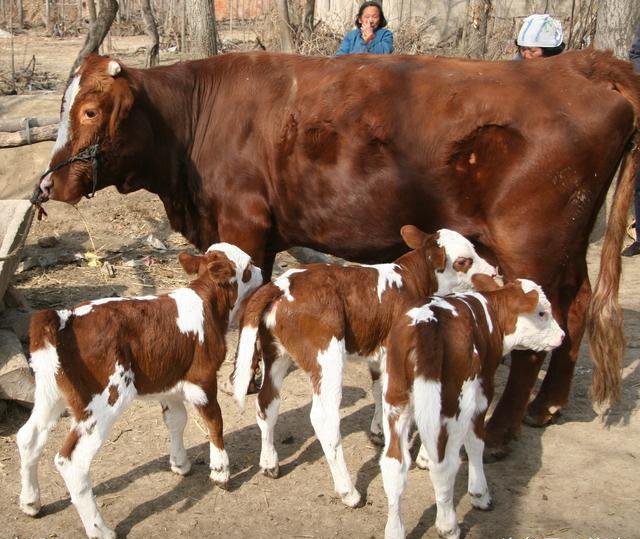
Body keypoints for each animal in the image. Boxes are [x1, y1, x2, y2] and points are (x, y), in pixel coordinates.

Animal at [17, 245, 262, 539]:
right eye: (249, 266)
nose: (263, 271)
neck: (208, 305)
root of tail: (64, 317)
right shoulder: (202, 379)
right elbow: (215, 422)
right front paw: (221, 472)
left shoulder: (169, 381)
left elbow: (176, 420)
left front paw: (179, 464)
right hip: (104, 400)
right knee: (72, 461)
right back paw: (100, 529)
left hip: (50, 393)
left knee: (28, 437)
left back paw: (31, 503)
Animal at [32, 51, 640, 456]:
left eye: (91, 112)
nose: (50, 183)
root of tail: (576, 67)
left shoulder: (243, 226)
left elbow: (244, 305)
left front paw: (241, 375)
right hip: (567, 247)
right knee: (576, 309)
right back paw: (546, 406)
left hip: (530, 247)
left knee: (537, 330)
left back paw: (501, 429)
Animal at [234, 226, 496, 508]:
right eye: (463, 261)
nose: (493, 273)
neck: (411, 281)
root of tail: (281, 284)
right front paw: (424, 455)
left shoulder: (380, 354)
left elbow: (378, 389)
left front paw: (378, 431)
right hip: (327, 356)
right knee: (324, 419)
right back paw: (348, 491)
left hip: (275, 352)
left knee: (267, 402)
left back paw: (269, 463)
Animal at [380, 278, 564, 539]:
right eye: (542, 313)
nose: (562, 336)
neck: (490, 312)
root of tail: (426, 326)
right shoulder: (484, 388)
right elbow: (476, 442)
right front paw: (479, 493)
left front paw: (423, 455)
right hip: (453, 401)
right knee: (444, 464)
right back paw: (448, 525)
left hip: (395, 396)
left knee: (394, 463)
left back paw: (395, 529)